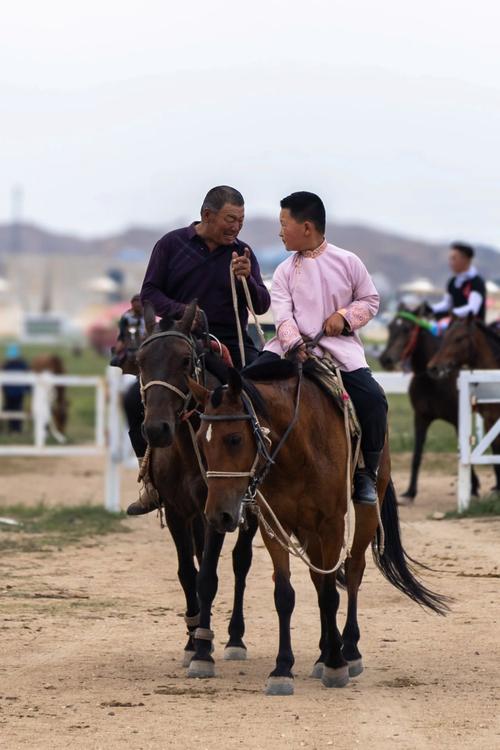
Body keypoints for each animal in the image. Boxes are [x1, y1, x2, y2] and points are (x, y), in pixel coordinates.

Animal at [188, 368, 450, 696]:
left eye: (234, 438)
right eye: (201, 441)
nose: (218, 515)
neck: (297, 447)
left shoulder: (332, 525)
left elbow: (329, 595)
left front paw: (336, 665)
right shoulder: (275, 526)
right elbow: (285, 594)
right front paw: (282, 668)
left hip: (364, 511)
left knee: (353, 570)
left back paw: (348, 649)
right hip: (308, 530)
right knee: (317, 576)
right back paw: (324, 651)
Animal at [378, 306, 480, 506]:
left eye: (407, 328)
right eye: (390, 327)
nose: (386, 359)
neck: (434, 380)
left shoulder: (457, 419)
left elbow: (464, 448)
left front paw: (473, 487)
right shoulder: (421, 418)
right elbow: (416, 455)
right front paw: (410, 492)